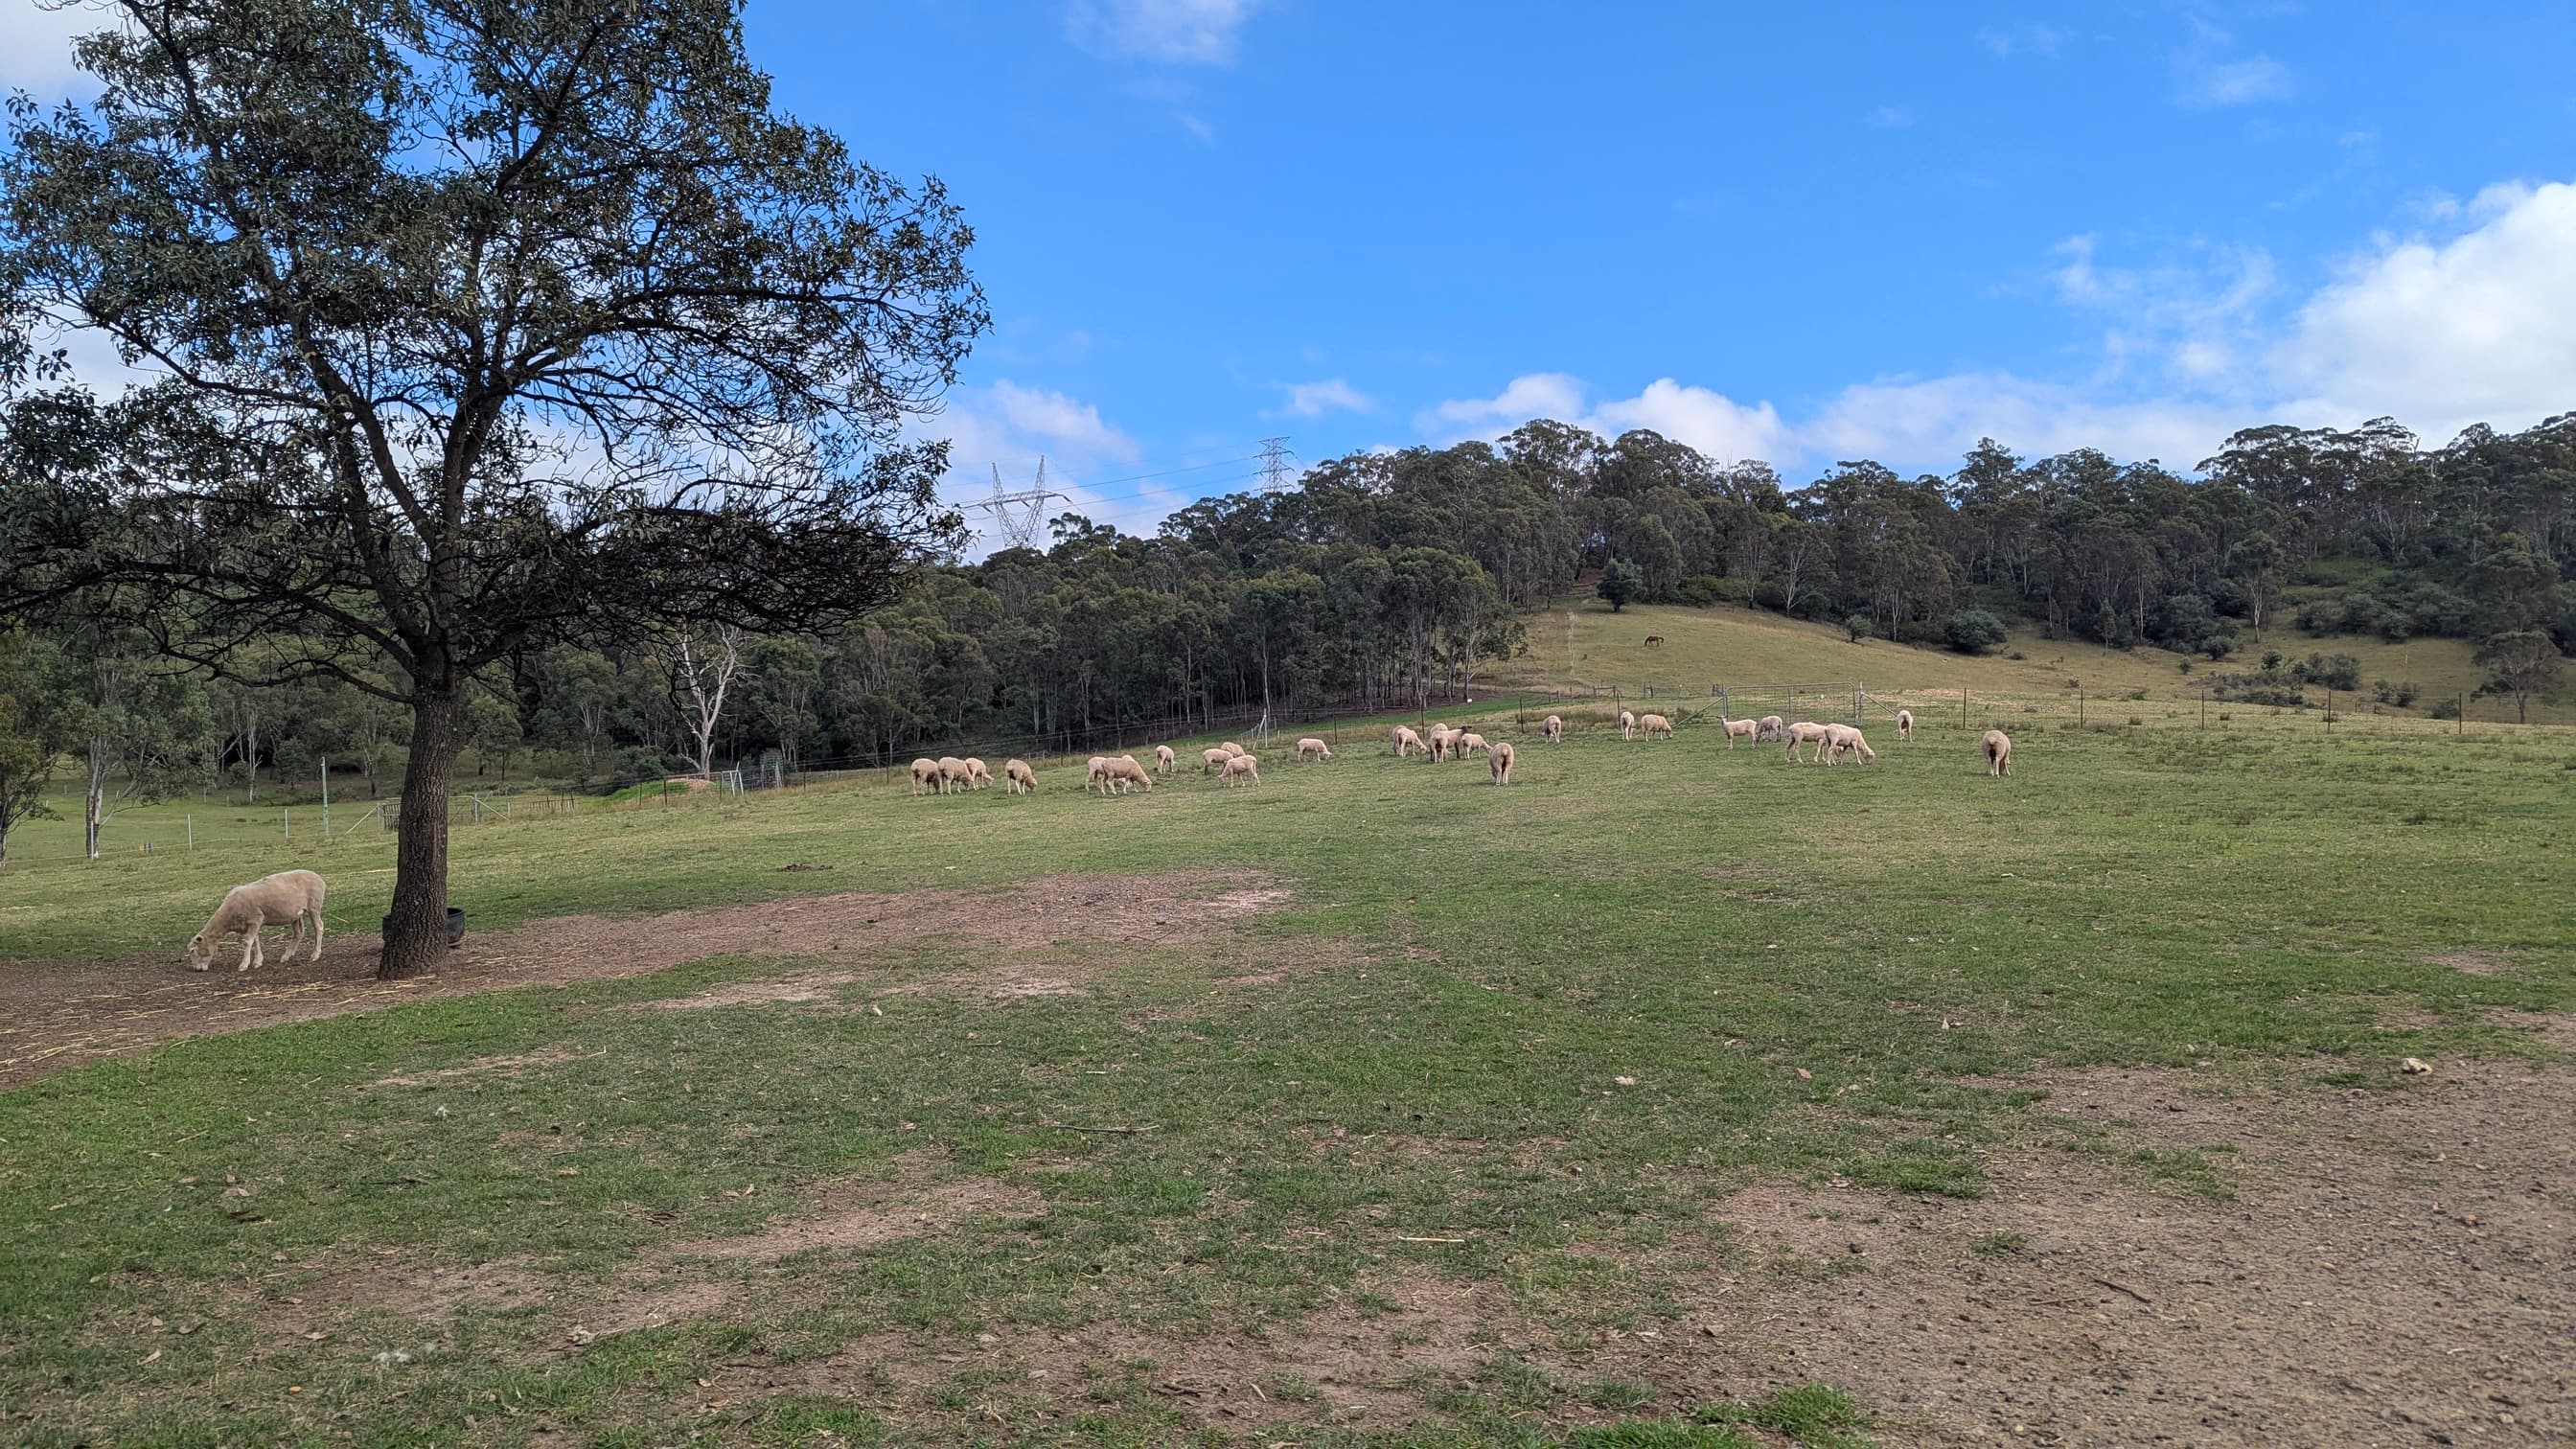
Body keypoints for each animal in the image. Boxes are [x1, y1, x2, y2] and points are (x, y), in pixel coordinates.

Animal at [185, 869, 325, 972]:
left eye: (193, 951)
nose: (197, 970)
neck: (228, 916)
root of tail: (319, 878)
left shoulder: (255, 919)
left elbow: (248, 942)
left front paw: (244, 965)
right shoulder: (251, 924)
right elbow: (255, 942)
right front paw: (258, 961)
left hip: (314, 906)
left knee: (318, 927)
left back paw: (315, 955)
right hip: (295, 914)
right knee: (298, 933)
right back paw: (286, 956)